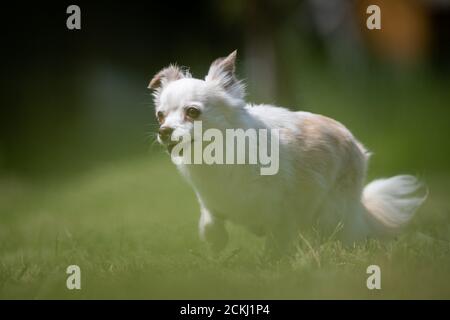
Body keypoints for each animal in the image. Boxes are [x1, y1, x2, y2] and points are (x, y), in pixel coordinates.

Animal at [149, 50, 428, 255]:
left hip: (330, 213)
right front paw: (216, 243)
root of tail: (357, 148)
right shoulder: (211, 201)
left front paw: (272, 262)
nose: (164, 131)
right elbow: (210, 224)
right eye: (160, 116)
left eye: (192, 112)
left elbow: (276, 239)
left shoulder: (279, 210)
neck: (216, 155)